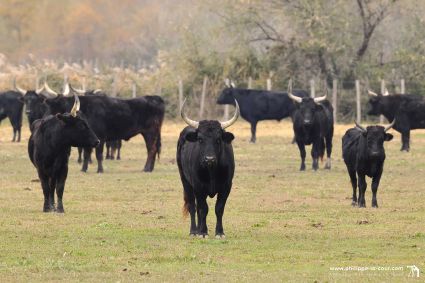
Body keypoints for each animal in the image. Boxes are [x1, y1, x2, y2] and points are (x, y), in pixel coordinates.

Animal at [176, 98, 238, 239]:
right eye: (200, 139)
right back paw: (194, 231)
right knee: (193, 206)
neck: (212, 172)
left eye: (218, 139)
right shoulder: (198, 187)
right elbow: (203, 209)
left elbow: (219, 208)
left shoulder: (227, 187)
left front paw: (219, 232)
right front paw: (203, 232)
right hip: (185, 181)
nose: (209, 159)